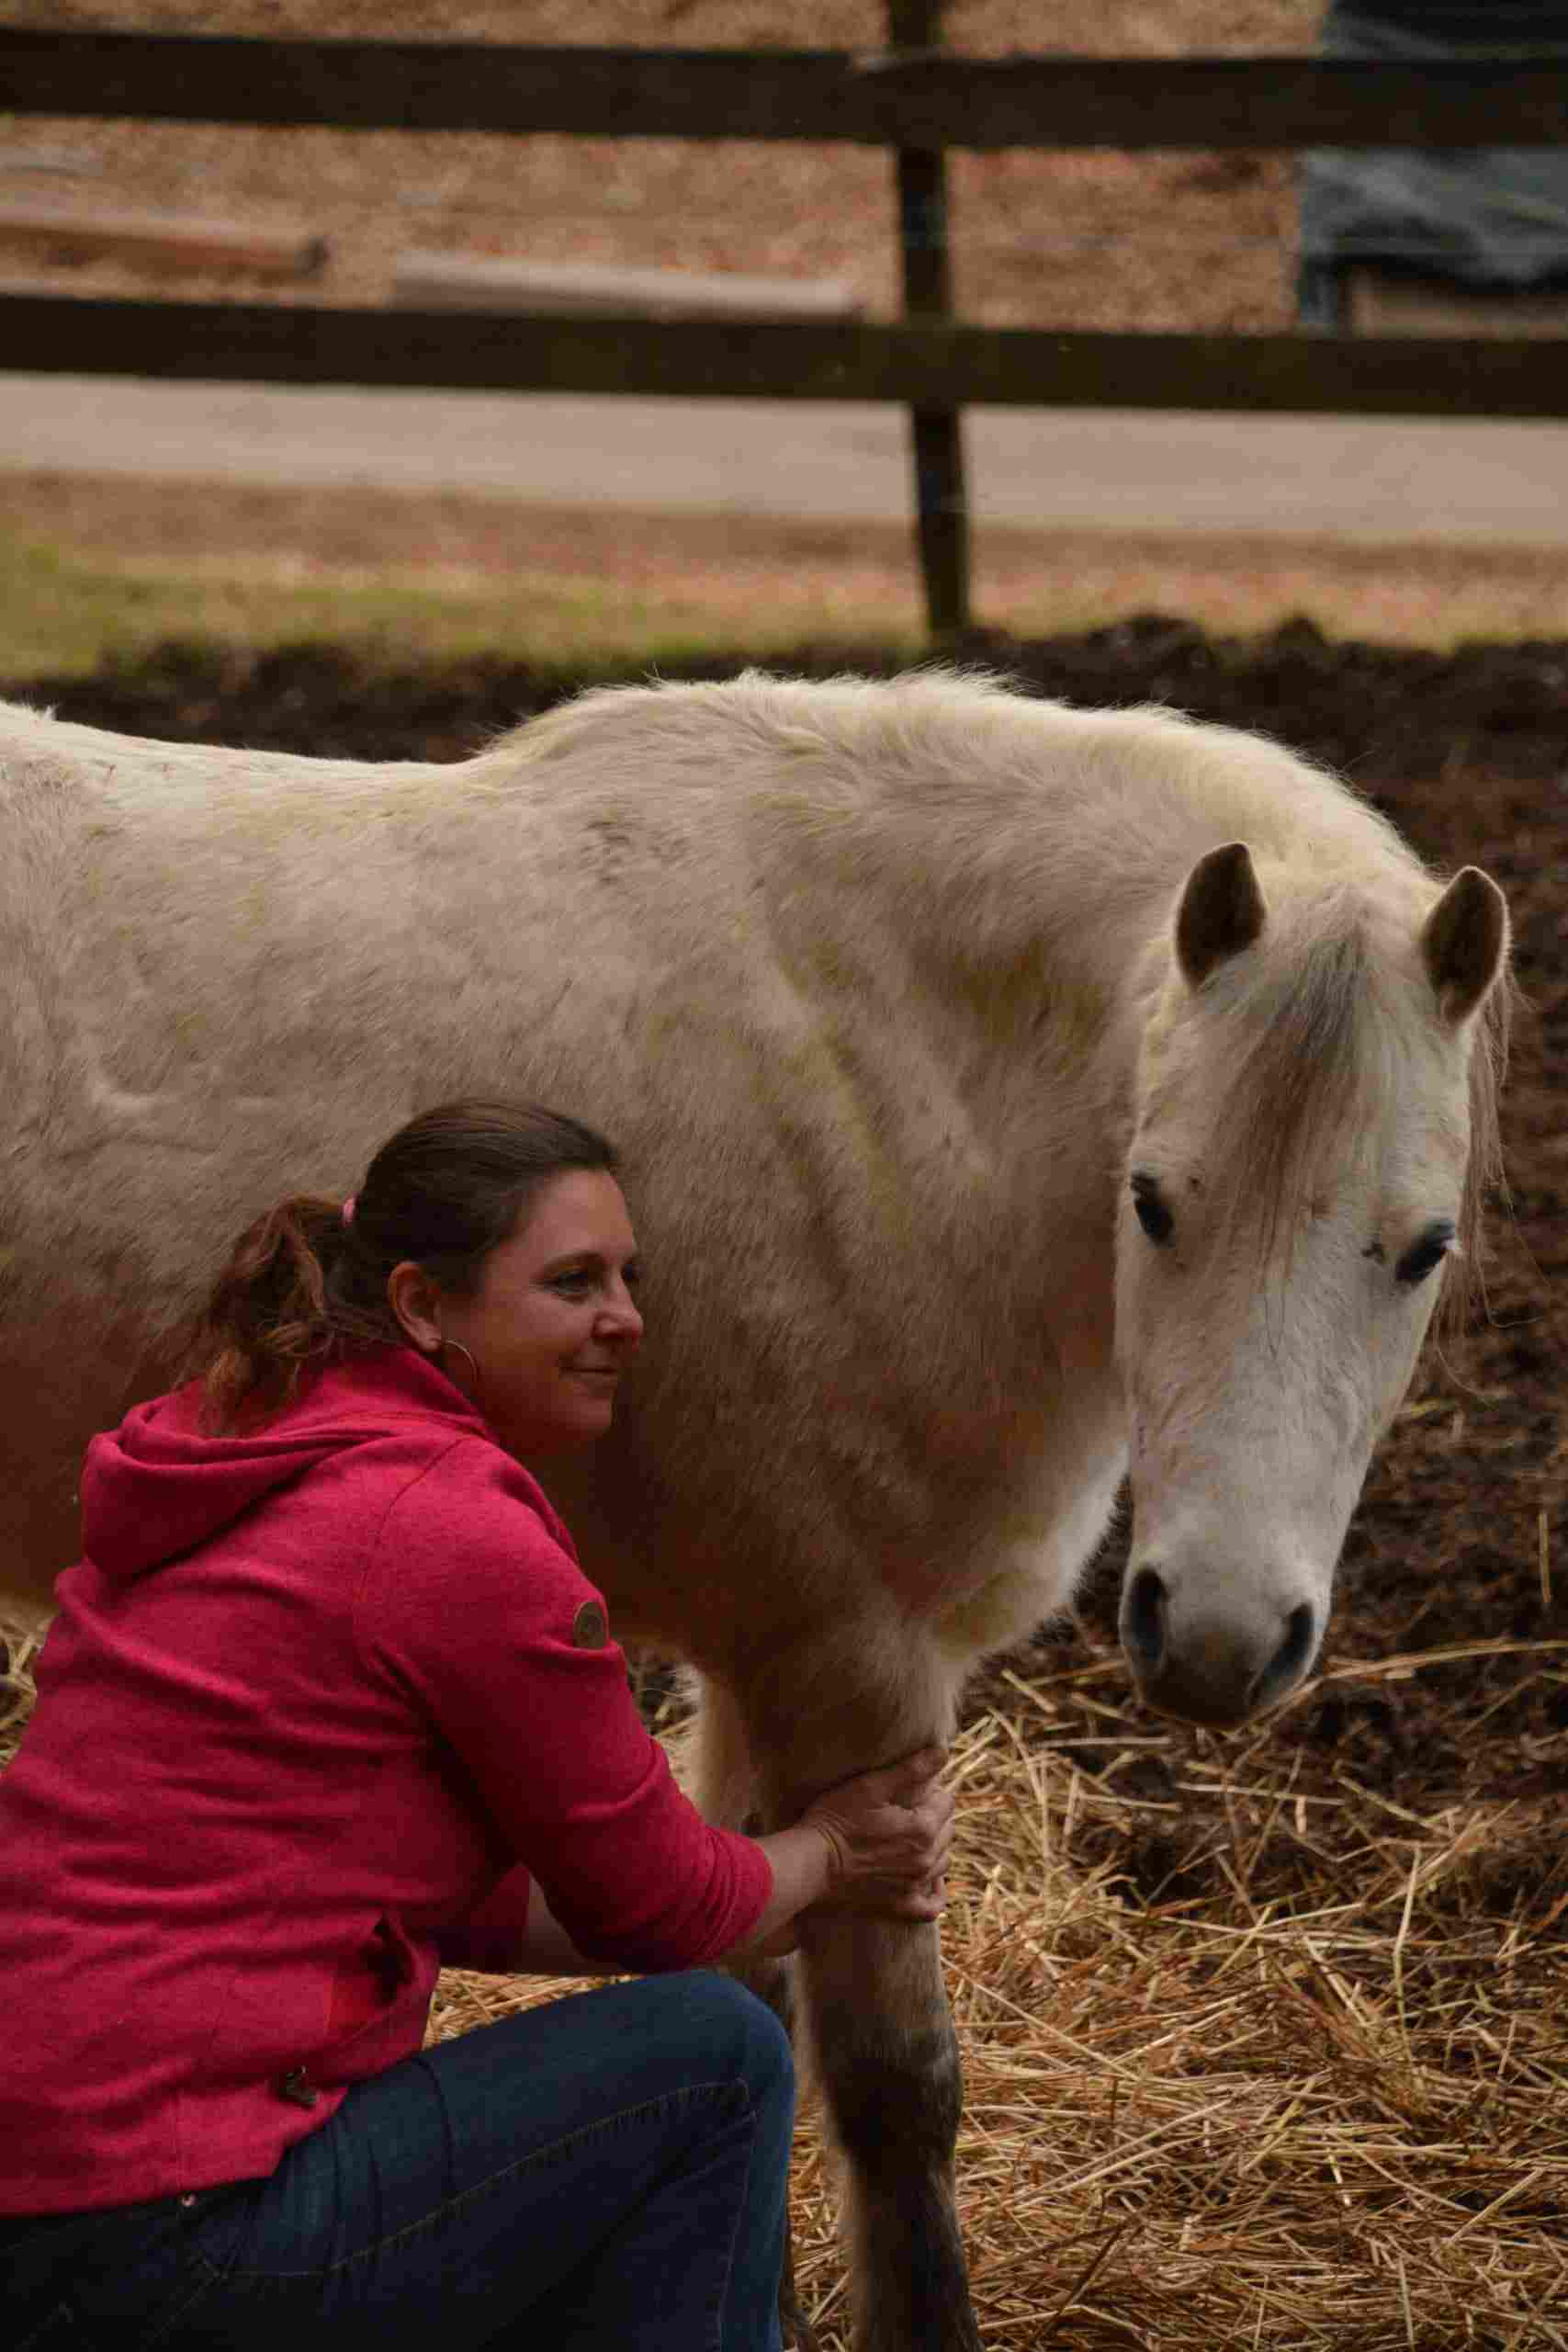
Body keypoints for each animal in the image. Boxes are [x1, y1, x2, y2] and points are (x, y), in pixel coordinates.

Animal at [3, 668, 1523, 2352]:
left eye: (1421, 1247)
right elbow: (891, 2088)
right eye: (1151, 1201)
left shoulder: (758, 1665)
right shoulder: (843, 1662)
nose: (1214, 1639)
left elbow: (748, 1993)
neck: (894, 1072)